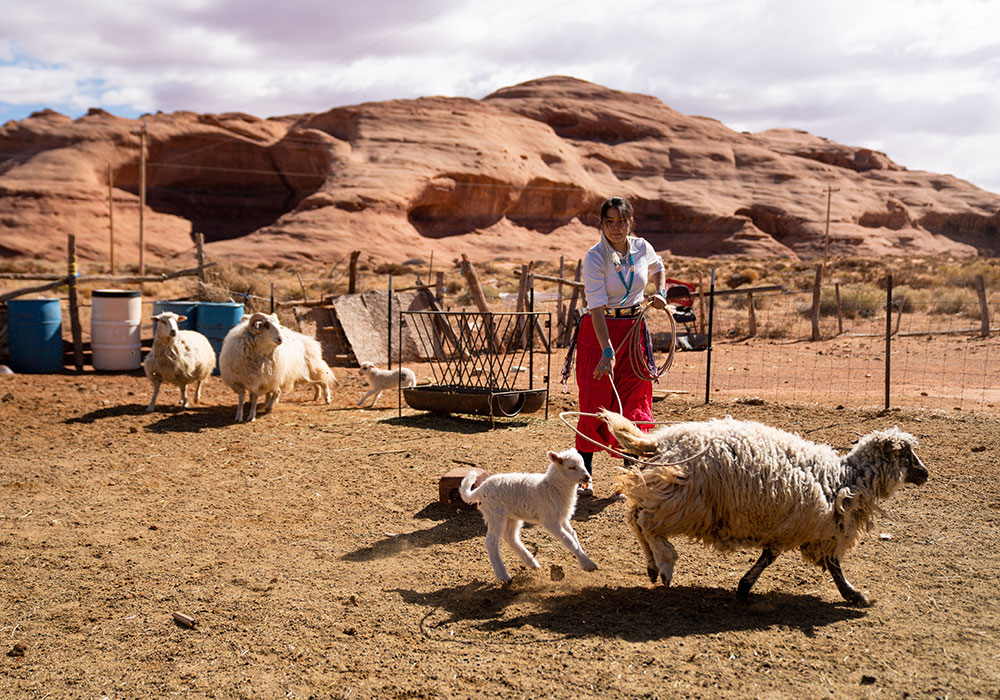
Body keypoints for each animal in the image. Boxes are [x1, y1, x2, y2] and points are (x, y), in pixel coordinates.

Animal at [458, 448, 596, 584]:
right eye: (571, 467)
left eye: (583, 464)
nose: (587, 477)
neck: (552, 487)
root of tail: (480, 490)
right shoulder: (549, 519)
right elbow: (568, 539)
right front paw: (589, 564)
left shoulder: (562, 518)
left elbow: (573, 535)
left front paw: (584, 560)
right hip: (495, 513)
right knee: (491, 542)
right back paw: (503, 575)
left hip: (512, 516)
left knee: (510, 537)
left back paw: (531, 562)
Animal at [592, 410, 928, 608]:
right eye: (906, 454)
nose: (925, 474)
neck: (844, 479)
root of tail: (661, 442)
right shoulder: (819, 530)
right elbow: (832, 565)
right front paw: (854, 595)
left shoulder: (791, 528)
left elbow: (769, 557)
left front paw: (744, 585)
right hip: (681, 502)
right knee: (646, 523)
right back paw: (664, 565)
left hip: (666, 494)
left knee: (635, 518)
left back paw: (652, 566)